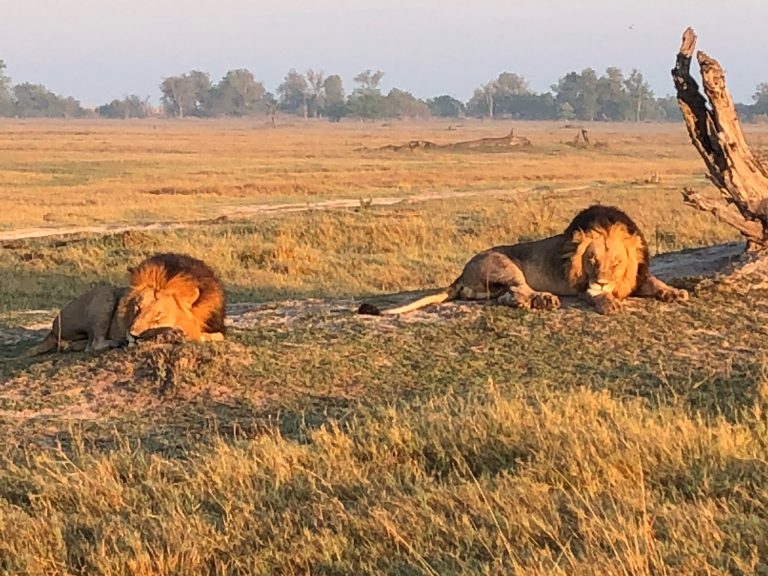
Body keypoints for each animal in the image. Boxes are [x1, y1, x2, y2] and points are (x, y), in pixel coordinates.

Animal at [358, 205, 688, 316]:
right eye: (591, 261)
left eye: (616, 262)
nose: (602, 281)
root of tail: (461, 274)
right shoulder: (583, 286)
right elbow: (595, 296)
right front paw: (608, 302)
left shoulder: (639, 274)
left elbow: (655, 281)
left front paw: (674, 292)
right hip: (506, 264)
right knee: (519, 290)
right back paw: (545, 300)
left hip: (492, 288)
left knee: (508, 297)